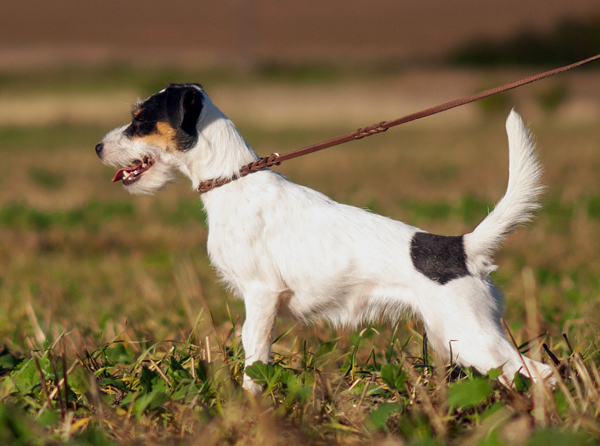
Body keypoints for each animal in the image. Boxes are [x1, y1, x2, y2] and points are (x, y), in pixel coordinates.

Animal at [97, 82, 552, 392]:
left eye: (140, 120)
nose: (98, 147)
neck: (233, 180)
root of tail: (460, 246)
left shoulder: (260, 297)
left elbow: (254, 359)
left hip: (472, 338)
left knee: (541, 373)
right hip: (453, 339)